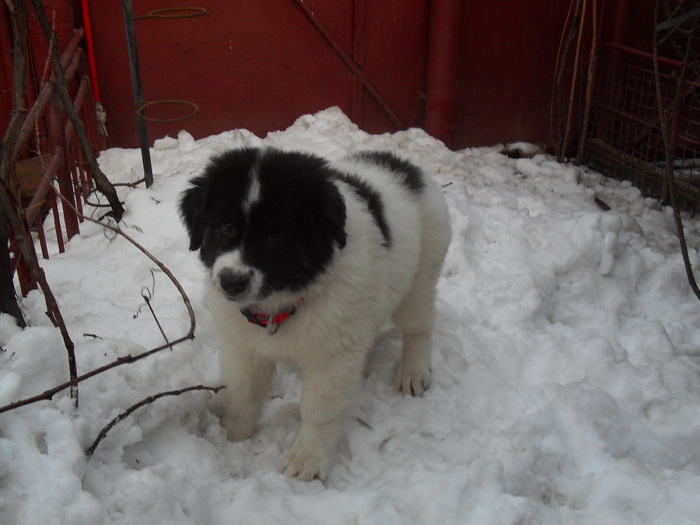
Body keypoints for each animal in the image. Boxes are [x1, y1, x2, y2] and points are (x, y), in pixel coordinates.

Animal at [180, 146, 452, 478]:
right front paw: (232, 433)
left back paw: (413, 372)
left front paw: (306, 459)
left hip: (421, 275)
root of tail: (404, 165)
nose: (232, 282)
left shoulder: (331, 359)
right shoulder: (243, 347)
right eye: (226, 226)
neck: (280, 305)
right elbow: (244, 392)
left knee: (418, 326)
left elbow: (320, 409)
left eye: (275, 236)